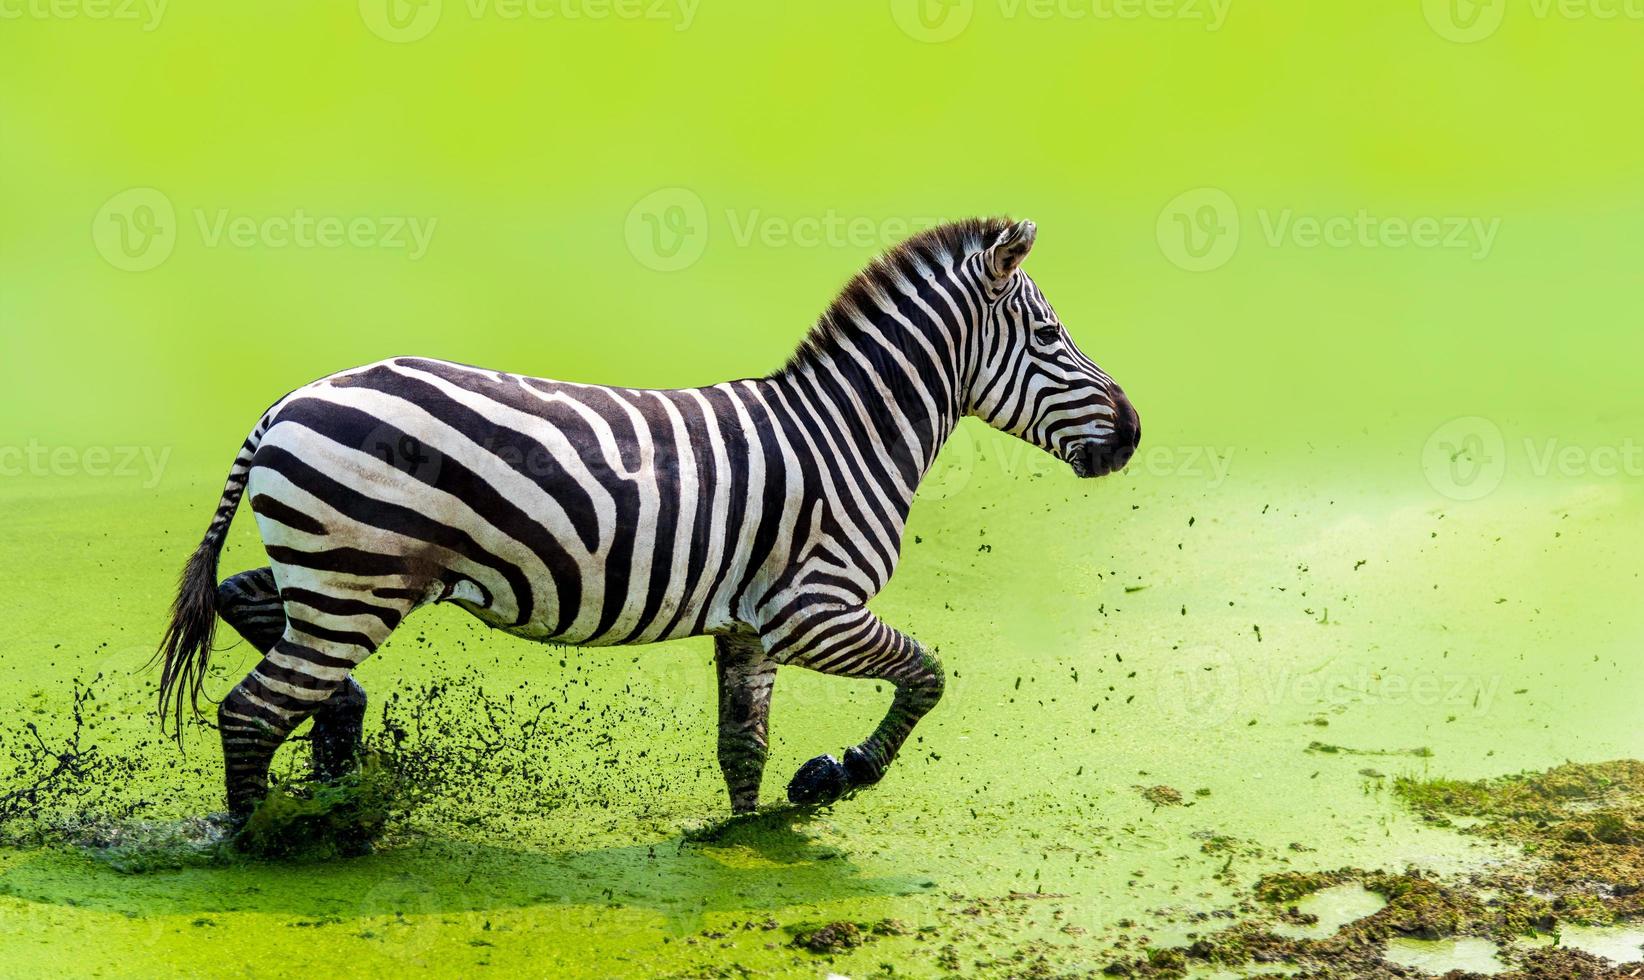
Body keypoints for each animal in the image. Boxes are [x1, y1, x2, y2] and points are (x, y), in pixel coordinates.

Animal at [154, 217, 1137, 818]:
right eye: (1050, 338)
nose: (1131, 434)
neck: (846, 434)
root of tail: (284, 403)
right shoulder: (814, 611)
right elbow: (928, 676)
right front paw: (836, 776)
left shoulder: (752, 624)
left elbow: (743, 749)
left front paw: (750, 834)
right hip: (354, 587)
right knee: (250, 712)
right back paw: (264, 847)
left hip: (335, 578)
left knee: (256, 615)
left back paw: (334, 783)